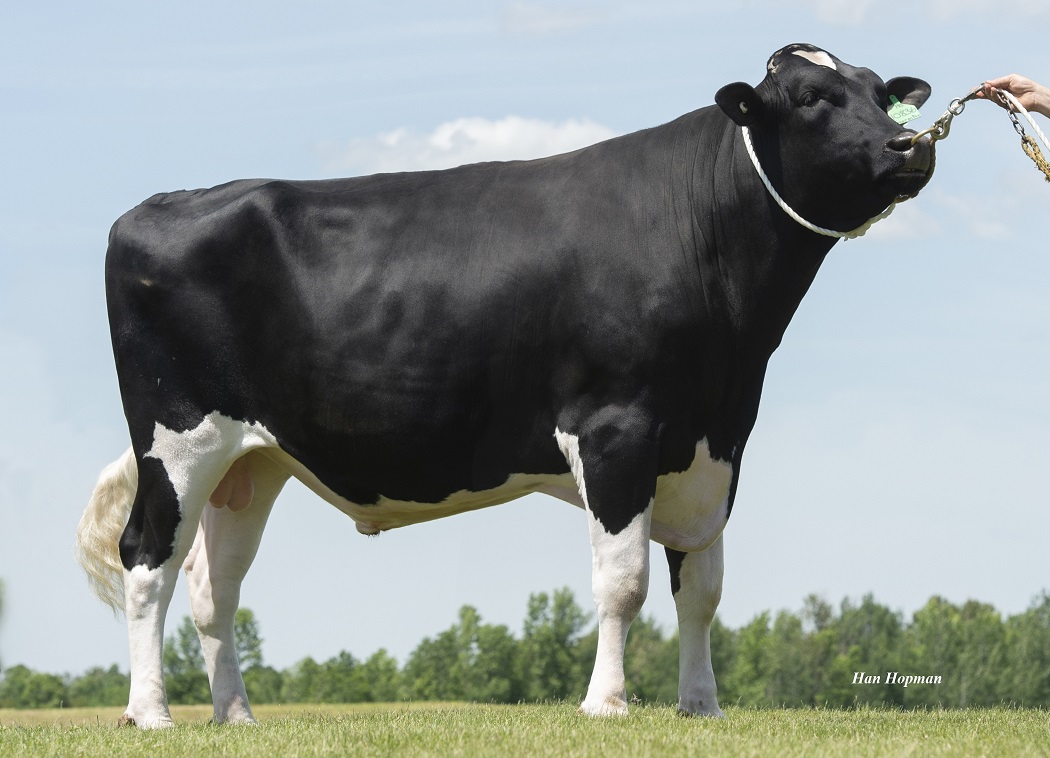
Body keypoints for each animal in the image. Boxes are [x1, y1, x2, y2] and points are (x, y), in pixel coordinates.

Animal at [76, 43, 933, 728]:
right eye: (811, 97)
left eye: (878, 91)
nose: (911, 143)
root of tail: (159, 204)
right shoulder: (616, 428)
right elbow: (624, 582)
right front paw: (607, 704)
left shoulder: (716, 443)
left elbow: (702, 587)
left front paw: (701, 707)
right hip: (179, 439)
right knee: (147, 559)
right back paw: (151, 714)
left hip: (252, 462)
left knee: (212, 585)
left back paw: (236, 716)